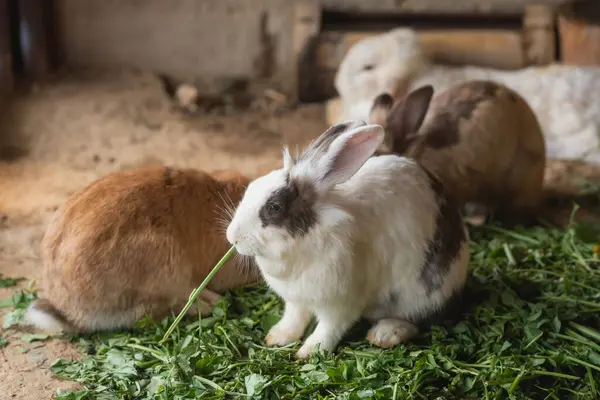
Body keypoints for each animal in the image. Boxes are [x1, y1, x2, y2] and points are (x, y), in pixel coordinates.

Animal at [225, 119, 468, 360]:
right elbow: (294, 317)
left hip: (422, 295)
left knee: (419, 320)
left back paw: (385, 334)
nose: (231, 237)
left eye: (274, 207)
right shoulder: (296, 299)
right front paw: (278, 337)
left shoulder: (341, 303)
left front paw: (309, 352)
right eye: (250, 187)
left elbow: (329, 328)